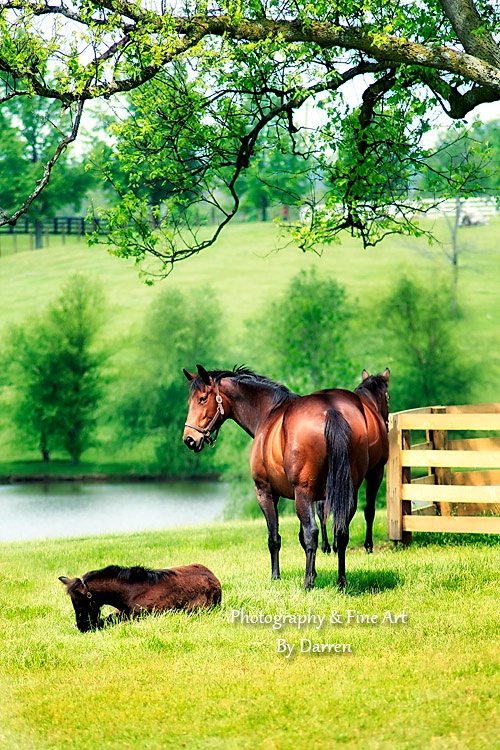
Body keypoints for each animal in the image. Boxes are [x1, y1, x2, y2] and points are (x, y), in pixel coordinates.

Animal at [59, 564, 222, 636]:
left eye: (81, 602)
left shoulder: (142, 616)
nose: (83, 627)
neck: (130, 592)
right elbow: (106, 620)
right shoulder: (121, 612)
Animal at [184, 368, 390, 592]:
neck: (267, 414)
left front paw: (276, 576)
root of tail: (331, 411)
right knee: (341, 531)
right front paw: (314, 572)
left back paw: (308, 583)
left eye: (203, 398)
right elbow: (302, 536)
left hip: (305, 492)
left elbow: (275, 537)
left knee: (312, 532)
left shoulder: (266, 492)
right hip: (346, 491)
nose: (189, 439)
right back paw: (340, 581)